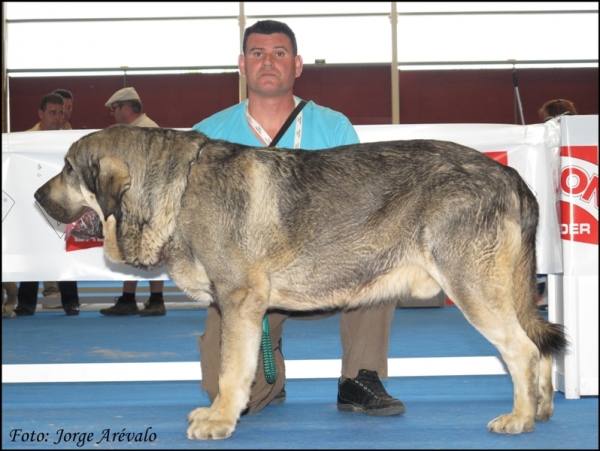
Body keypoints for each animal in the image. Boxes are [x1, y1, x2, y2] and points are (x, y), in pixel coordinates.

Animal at [35, 125, 564, 440]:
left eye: (67, 168)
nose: (38, 196)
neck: (178, 188)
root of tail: (511, 175)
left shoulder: (240, 303)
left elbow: (231, 371)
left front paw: (221, 419)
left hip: (474, 290)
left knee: (522, 350)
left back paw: (519, 419)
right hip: (502, 293)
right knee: (540, 348)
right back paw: (540, 410)